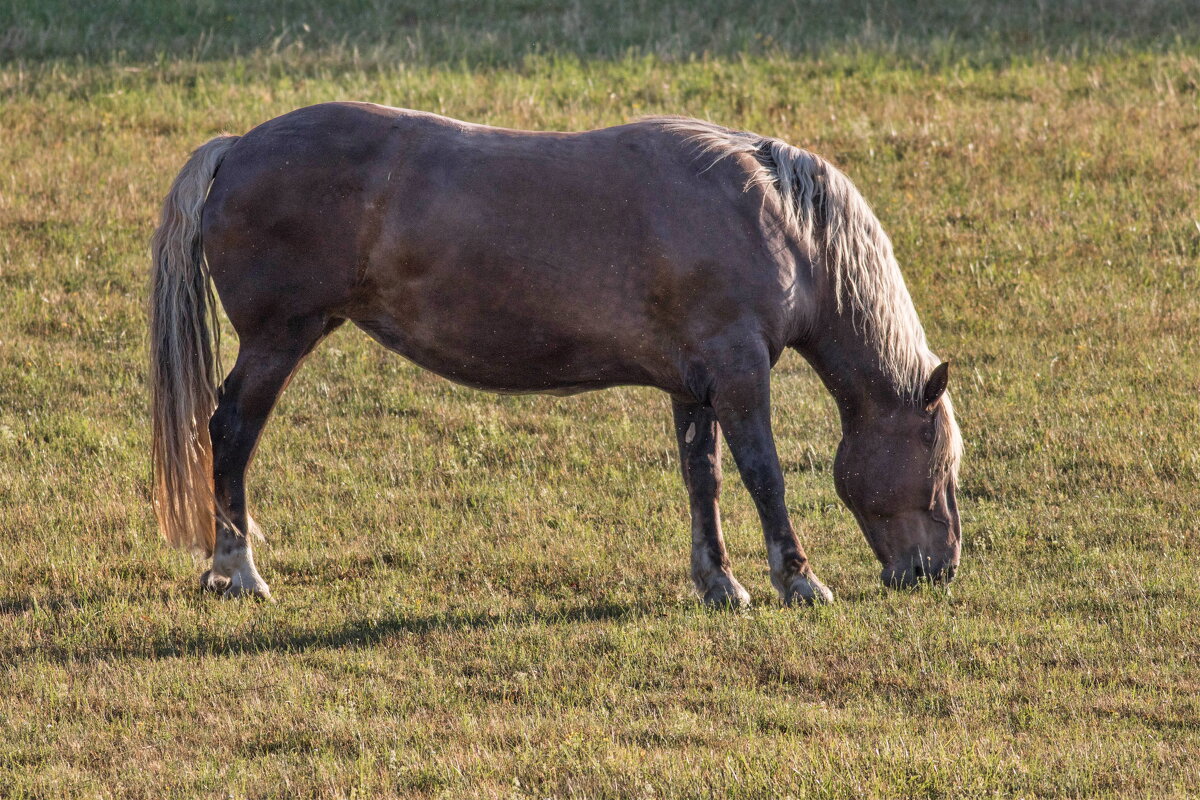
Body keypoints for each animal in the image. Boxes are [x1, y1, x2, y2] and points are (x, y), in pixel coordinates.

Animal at [150, 104, 960, 606]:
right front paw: (798, 580)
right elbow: (765, 476)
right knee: (230, 434)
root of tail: (236, 149)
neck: (774, 219)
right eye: (942, 461)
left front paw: (719, 582)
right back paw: (237, 568)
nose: (939, 569)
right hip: (278, 340)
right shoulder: (738, 374)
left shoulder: (692, 386)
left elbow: (702, 480)